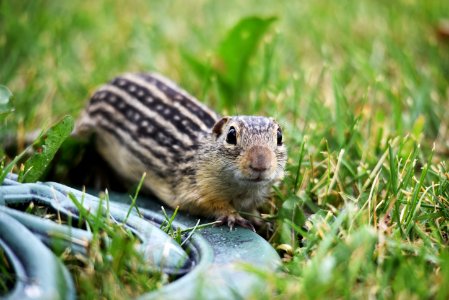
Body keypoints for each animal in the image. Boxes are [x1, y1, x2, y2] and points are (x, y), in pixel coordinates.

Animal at [75, 72, 288, 230]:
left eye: (279, 136)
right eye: (231, 135)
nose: (261, 164)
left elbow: (252, 210)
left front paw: (262, 221)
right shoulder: (191, 188)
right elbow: (208, 204)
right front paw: (233, 216)